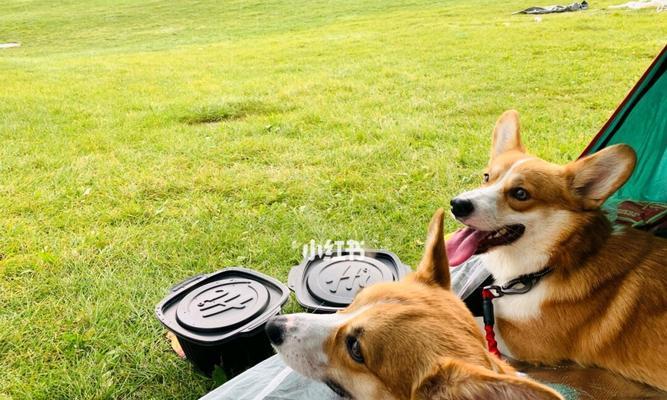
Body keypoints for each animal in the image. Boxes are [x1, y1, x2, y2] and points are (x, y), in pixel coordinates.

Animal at [448, 111, 667, 392]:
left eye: (520, 193)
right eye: (487, 177)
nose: (457, 204)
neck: (545, 268)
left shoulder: (522, 343)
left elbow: (470, 325)